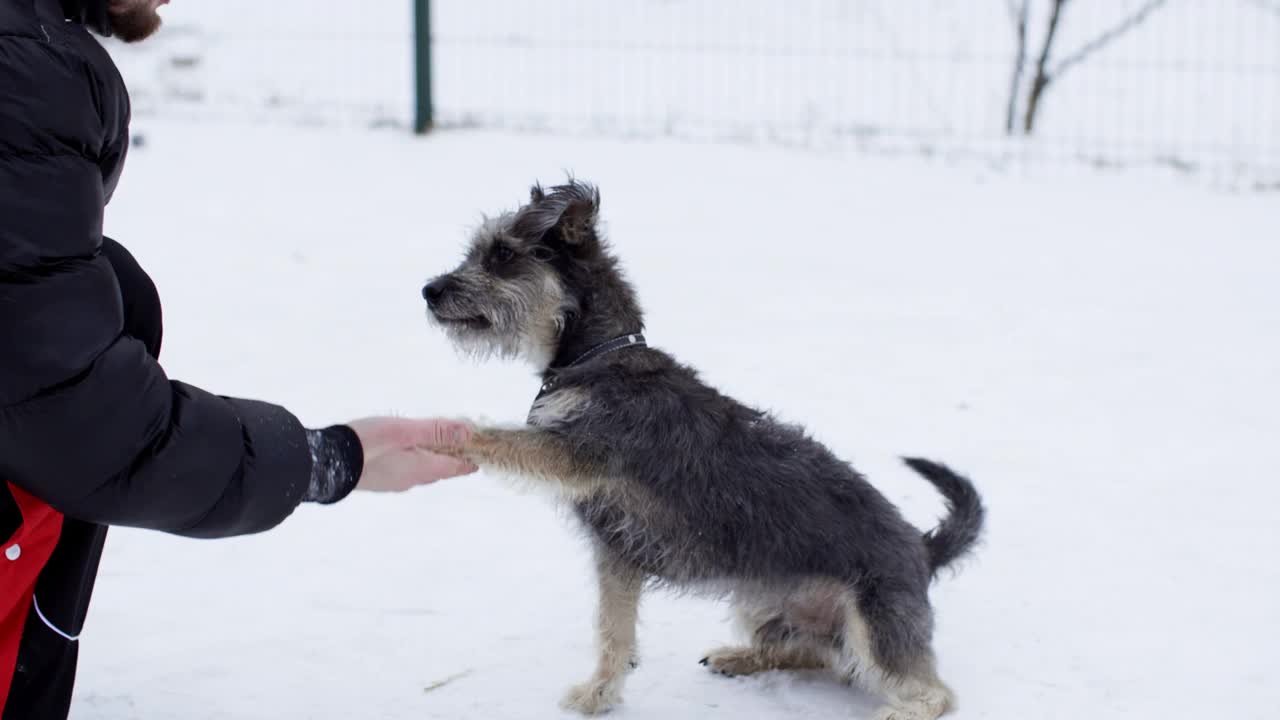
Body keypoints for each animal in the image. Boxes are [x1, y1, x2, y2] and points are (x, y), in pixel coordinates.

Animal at [424, 180, 983, 717]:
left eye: (502, 254)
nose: (428, 290)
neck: (599, 360)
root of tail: (923, 548)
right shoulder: (615, 554)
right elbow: (613, 631)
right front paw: (601, 694)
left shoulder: (577, 455)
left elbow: (498, 437)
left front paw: (440, 430)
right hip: (760, 602)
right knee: (818, 655)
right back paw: (739, 657)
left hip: (874, 627)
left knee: (932, 692)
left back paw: (900, 711)